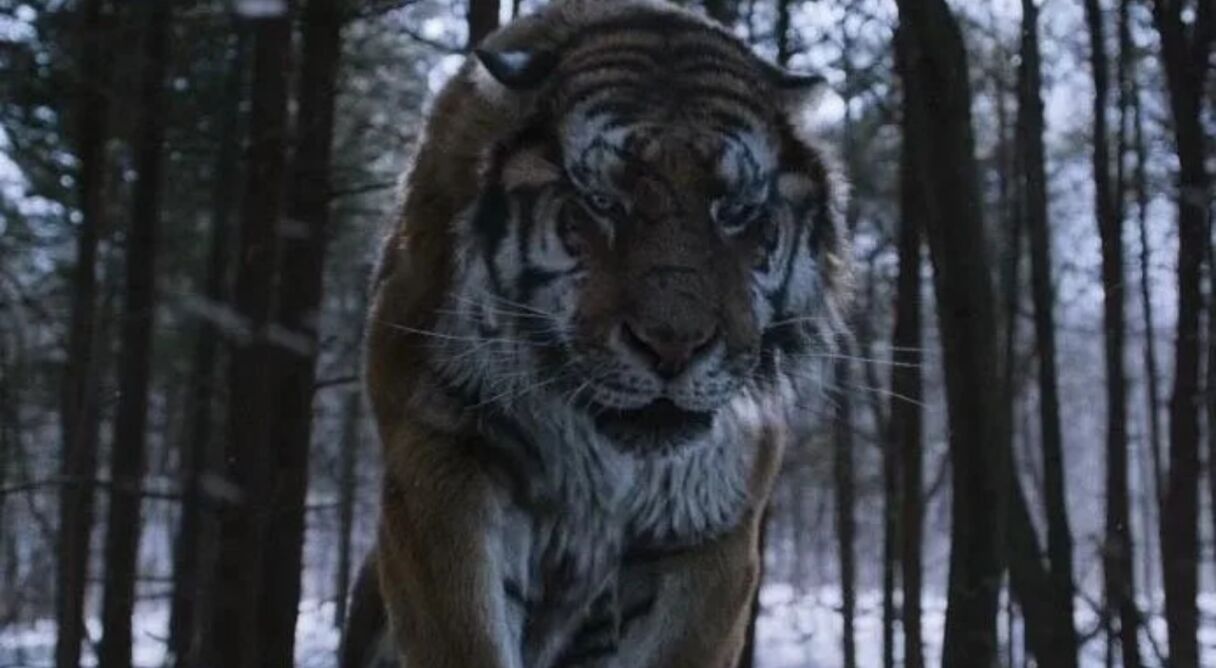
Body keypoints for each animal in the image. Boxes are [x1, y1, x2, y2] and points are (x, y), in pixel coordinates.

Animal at [341, 0, 851, 666]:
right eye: (605, 203)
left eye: (736, 212)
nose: (672, 346)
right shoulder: (441, 451)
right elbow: (466, 630)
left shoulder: (715, 520)